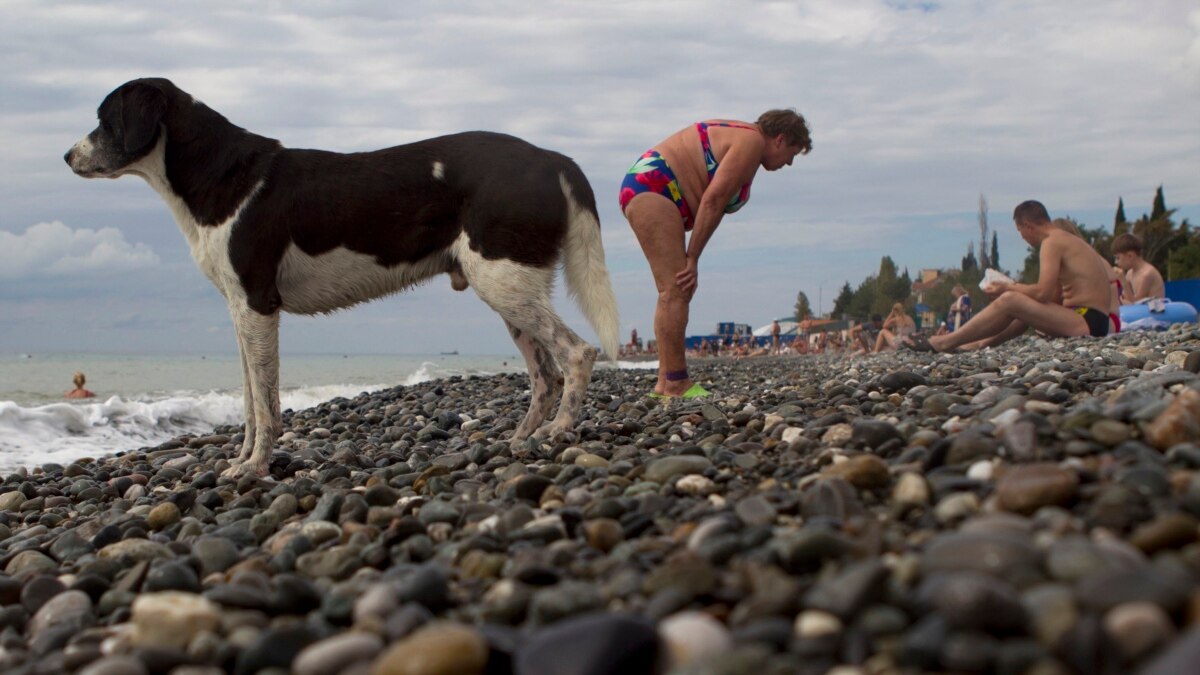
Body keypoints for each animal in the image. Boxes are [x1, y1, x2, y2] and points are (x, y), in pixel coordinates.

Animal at [68, 78, 619, 475]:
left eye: (104, 120)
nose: (67, 157)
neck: (220, 174)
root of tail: (554, 159)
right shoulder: (238, 310)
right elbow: (247, 400)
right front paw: (242, 458)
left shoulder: (259, 306)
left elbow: (266, 404)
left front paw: (255, 467)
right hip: (511, 292)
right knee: (545, 375)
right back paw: (522, 438)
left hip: (505, 283)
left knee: (577, 354)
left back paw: (557, 433)